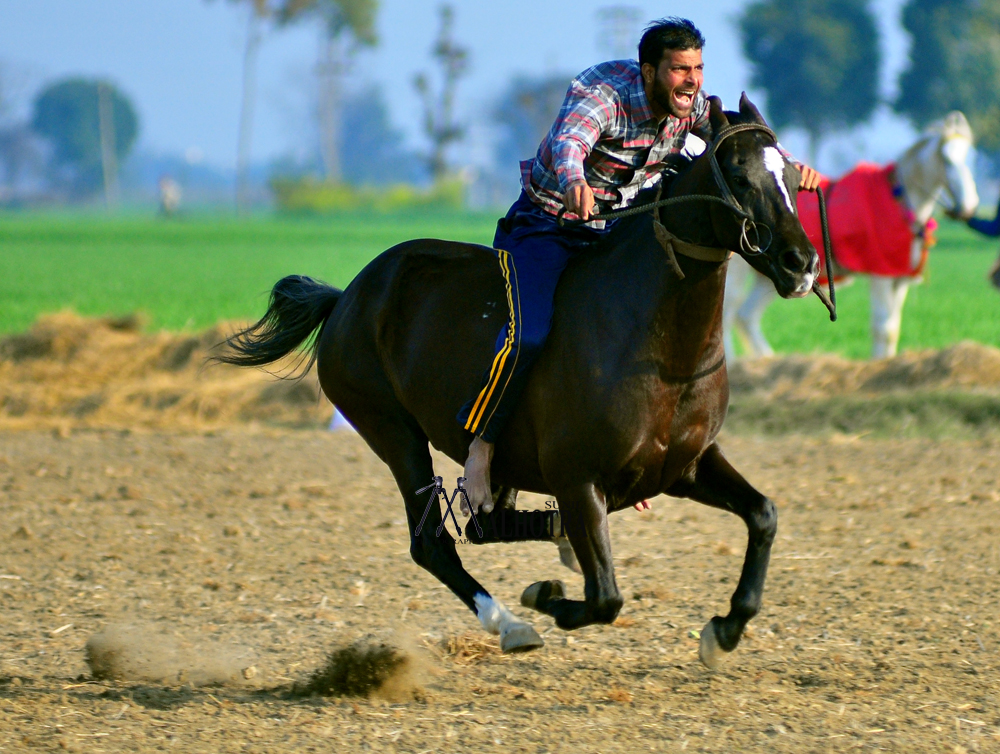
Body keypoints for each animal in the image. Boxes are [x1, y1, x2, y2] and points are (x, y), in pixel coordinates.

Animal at [221, 95, 820, 668]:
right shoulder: (578, 478)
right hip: (392, 431)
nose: (802, 263)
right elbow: (604, 597)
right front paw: (545, 595)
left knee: (485, 525)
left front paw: (724, 630)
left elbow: (763, 514)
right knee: (433, 545)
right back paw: (511, 624)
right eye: (739, 175)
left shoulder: (685, 465)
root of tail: (346, 296)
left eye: (793, 177)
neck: (655, 344)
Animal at [724, 110, 980, 360]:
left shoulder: (899, 279)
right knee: (728, 312)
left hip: (777, 275)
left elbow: (893, 328)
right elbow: (883, 329)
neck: (898, 201)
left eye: (969, 157)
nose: (968, 206)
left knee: (746, 316)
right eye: (947, 160)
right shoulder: (881, 275)